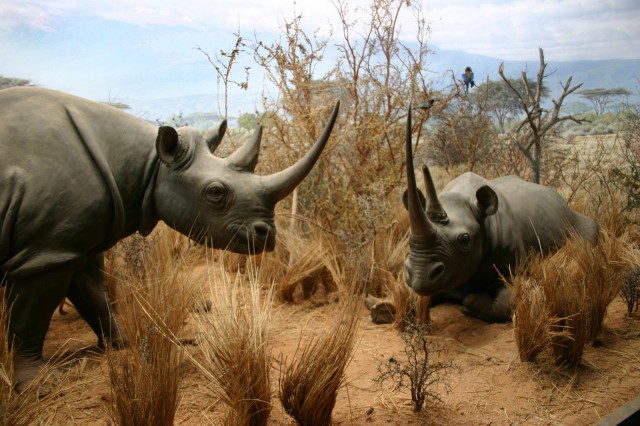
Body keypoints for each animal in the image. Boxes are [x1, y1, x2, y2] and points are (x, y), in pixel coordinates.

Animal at [0, 87, 339, 390]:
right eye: (215, 193)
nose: (267, 235)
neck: (151, 165)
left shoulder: (69, 243)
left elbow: (94, 292)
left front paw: (122, 343)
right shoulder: (46, 251)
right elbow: (31, 316)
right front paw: (39, 385)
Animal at [402, 109, 598, 323]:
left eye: (465, 239)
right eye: (409, 238)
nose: (420, 277)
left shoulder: (514, 267)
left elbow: (507, 302)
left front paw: (470, 301)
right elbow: (410, 300)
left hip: (573, 218)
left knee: (589, 231)